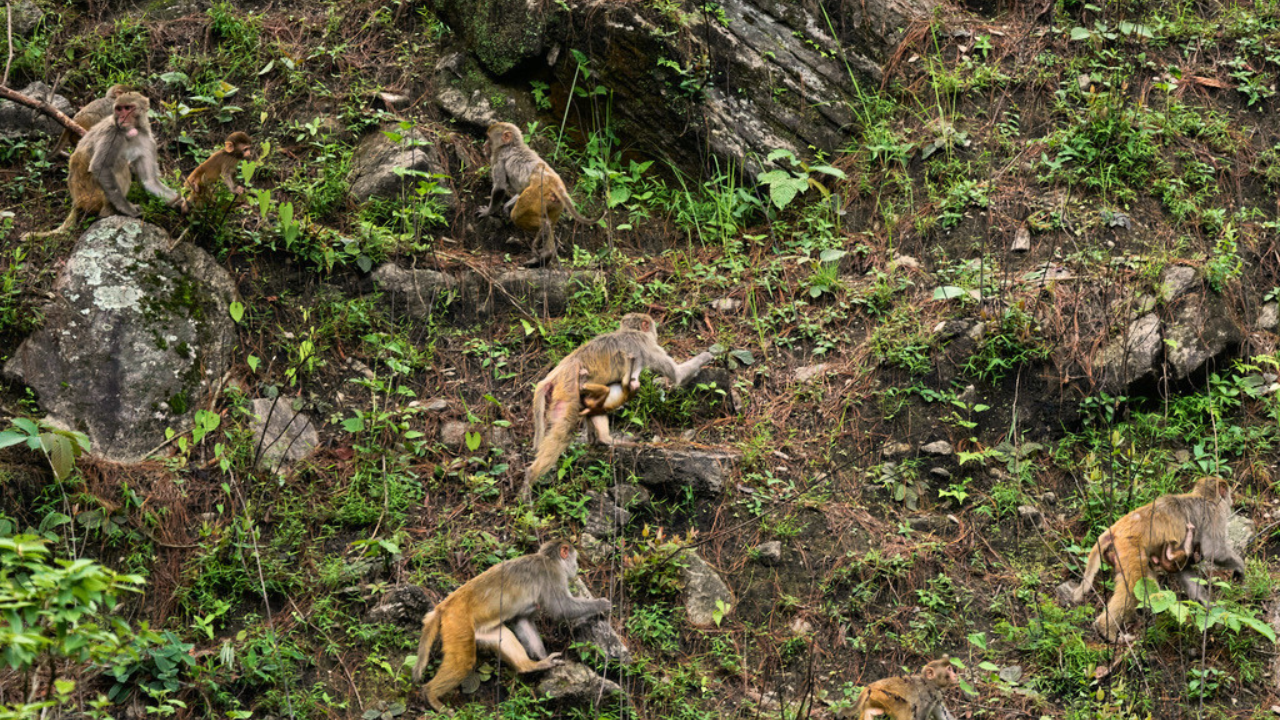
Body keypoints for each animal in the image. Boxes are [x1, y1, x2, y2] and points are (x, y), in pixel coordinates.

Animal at [29, 92, 186, 239]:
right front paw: (127, 210)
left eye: (128, 108)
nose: (122, 118)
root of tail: (76, 200)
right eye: (119, 109)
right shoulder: (113, 133)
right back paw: (108, 213)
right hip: (91, 196)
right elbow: (100, 166)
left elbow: (149, 181)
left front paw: (180, 202)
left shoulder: (148, 141)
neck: (133, 131)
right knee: (119, 165)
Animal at [411, 540, 610, 714]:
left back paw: (529, 666)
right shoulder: (552, 576)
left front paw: (542, 657)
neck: (549, 558)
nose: (576, 567)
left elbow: (522, 620)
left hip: (476, 628)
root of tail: (444, 605)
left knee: (502, 636)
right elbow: (561, 609)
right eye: (574, 559)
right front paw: (601, 604)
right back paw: (431, 694)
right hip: (458, 623)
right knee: (463, 662)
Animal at [478, 122, 600, 266]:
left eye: (489, 138)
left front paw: (488, 211)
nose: (484, 146)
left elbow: (500, 187)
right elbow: (520, 189)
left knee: (519, 216)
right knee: (550, 223)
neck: (512, 145)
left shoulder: (498, 156)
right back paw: (546, 254)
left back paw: (543, 233)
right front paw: (506, 206)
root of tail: (553, 181)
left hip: (536, 194)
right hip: (555, 203)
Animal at [521, 313, 715, 501]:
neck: (631, 332)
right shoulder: (647, 347)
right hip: (568, 387)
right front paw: (707, 355)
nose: (656, 332)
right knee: (563, 431)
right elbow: (677, 375)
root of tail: (557, 371)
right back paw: (530, 477)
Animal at [1057, 476, 1245, 642]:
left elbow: (1185, 571)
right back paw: (1106, 630)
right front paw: (1240, 567)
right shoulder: (1215, 515)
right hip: (1131, 550)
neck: (1205, 497)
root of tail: (1115, 529)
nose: (1231, 500)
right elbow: (1215, 550)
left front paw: (1208, 606)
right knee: (1135, 588)